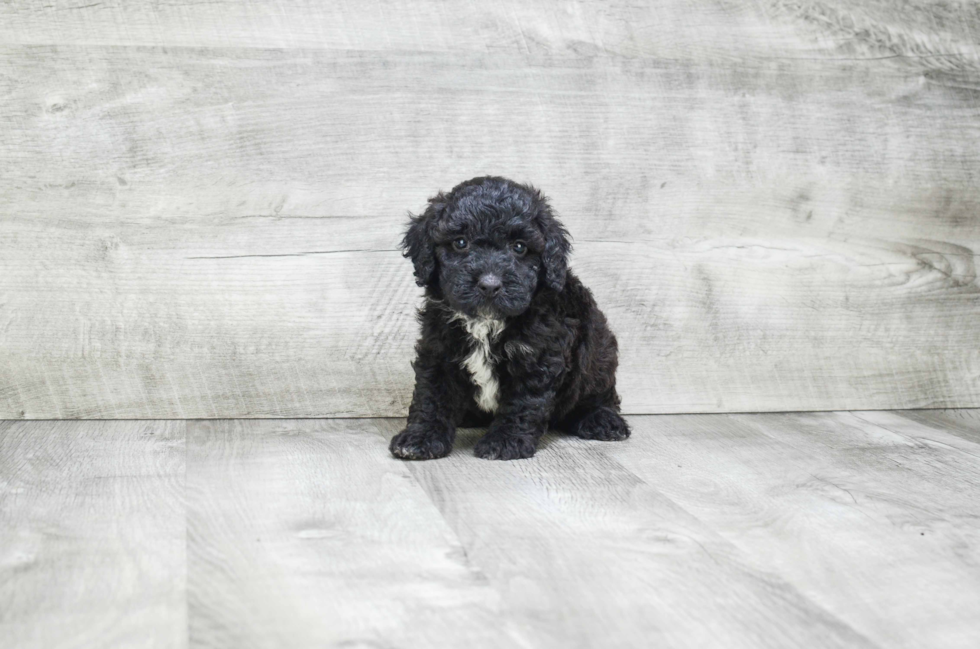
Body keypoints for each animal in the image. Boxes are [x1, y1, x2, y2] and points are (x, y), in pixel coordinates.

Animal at [388, 175, 628, 458]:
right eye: (460, 242)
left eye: (520, 247)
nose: (490, 285)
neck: (486, 322)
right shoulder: (438, 350)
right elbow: (431, 397)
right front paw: (420, 437)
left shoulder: (538, 357)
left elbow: (523, 403)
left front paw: (505, 441)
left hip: (599, 351)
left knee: (599, 393)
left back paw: (602, 419)